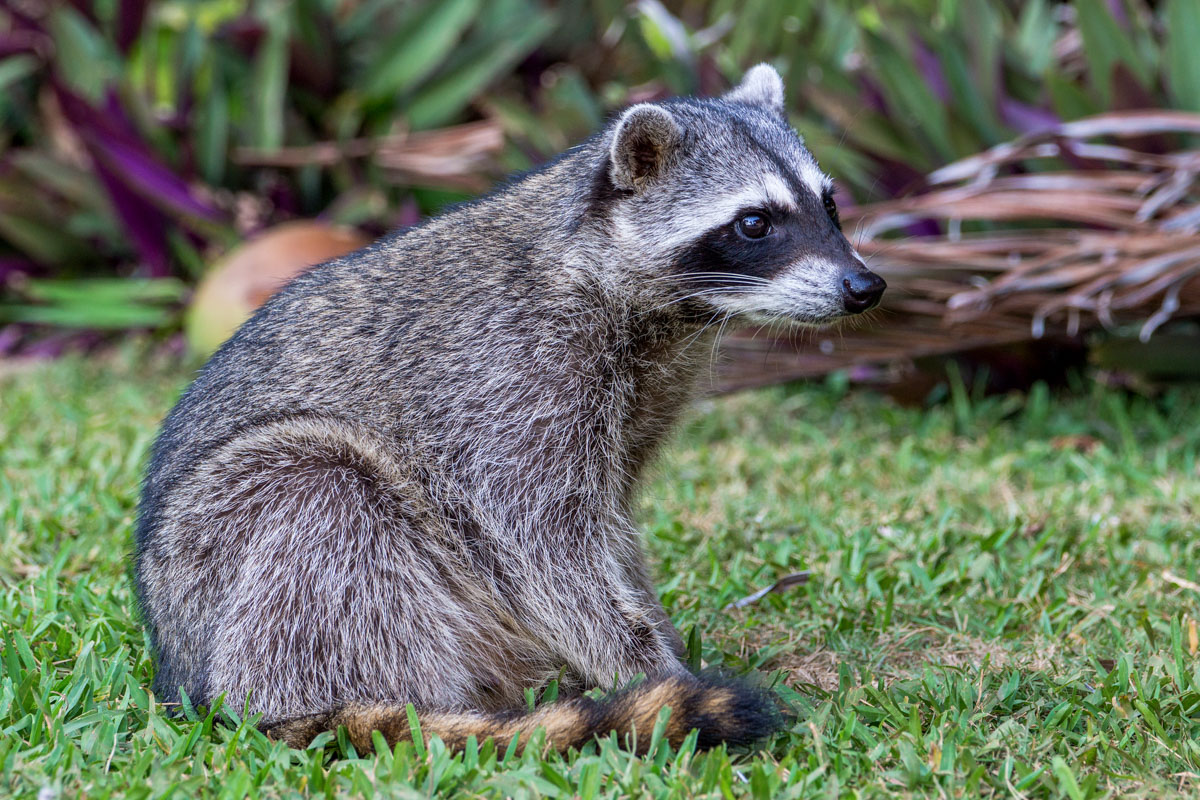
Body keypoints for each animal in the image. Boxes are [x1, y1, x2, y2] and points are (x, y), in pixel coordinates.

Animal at [133, 64, 885, 755]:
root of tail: (181, 669)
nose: (866, 286)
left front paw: (656, 634)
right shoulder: (509, 374)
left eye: (830, 205)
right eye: (755, 223)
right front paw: (648, 666)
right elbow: (541, 540)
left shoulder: (644, 393)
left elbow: (611, 527)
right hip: (225, 535)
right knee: (323, 501)